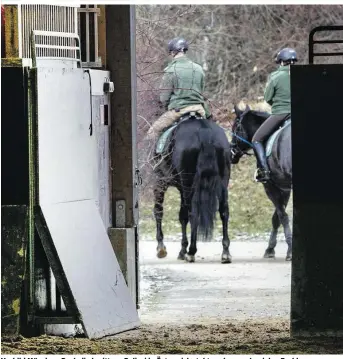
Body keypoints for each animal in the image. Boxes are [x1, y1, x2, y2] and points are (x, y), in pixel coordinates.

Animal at [154, 114, 232, 262]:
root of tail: (203, 129)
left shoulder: (160, 182)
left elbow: (160, 211)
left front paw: (163, 248)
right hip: (223, 180)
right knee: (224, 211)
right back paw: (225, 252)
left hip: (187, 183)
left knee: (193, 214)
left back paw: (191, 251)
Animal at [231, 105, 292, 262]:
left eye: (235, 128)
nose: (231, 151)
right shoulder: (284, 188)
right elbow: (277, 217)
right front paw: (270, 249)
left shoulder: (271, 187)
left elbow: (281, 216)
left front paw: (287, 250)